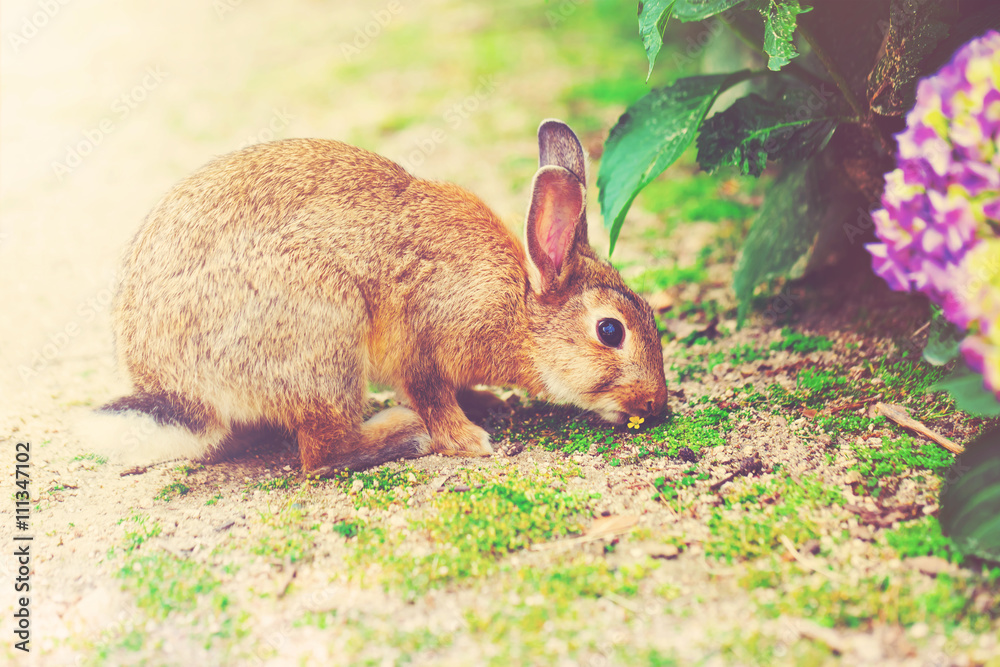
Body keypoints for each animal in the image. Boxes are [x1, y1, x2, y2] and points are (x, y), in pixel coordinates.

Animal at [90, 120, 668, 474]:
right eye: (610, 331)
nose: (657, 406)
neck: (519, 309)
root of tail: (176, 387)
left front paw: (489, 404)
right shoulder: (421, 339)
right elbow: (431, 394)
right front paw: (469, 439)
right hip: (327, 331)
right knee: (321, 454)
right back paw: (401, 432)